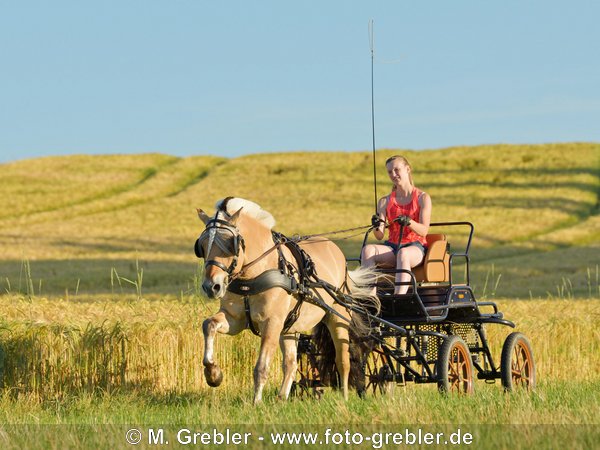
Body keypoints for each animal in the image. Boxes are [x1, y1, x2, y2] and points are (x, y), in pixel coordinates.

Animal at [195, 199, 378, 402]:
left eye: (229, 243)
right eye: (202, 245)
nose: (211, 286)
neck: (254, 276)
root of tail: (336, 251)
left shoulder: (272, 323)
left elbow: (261, 367)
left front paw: (256, 402)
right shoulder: (234, 319)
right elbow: (209, 325)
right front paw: (213, 374)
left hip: (336, 317)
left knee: (342, 360)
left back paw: (344, 398)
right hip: (290, 328)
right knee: (290, 364)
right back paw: (281, 399)